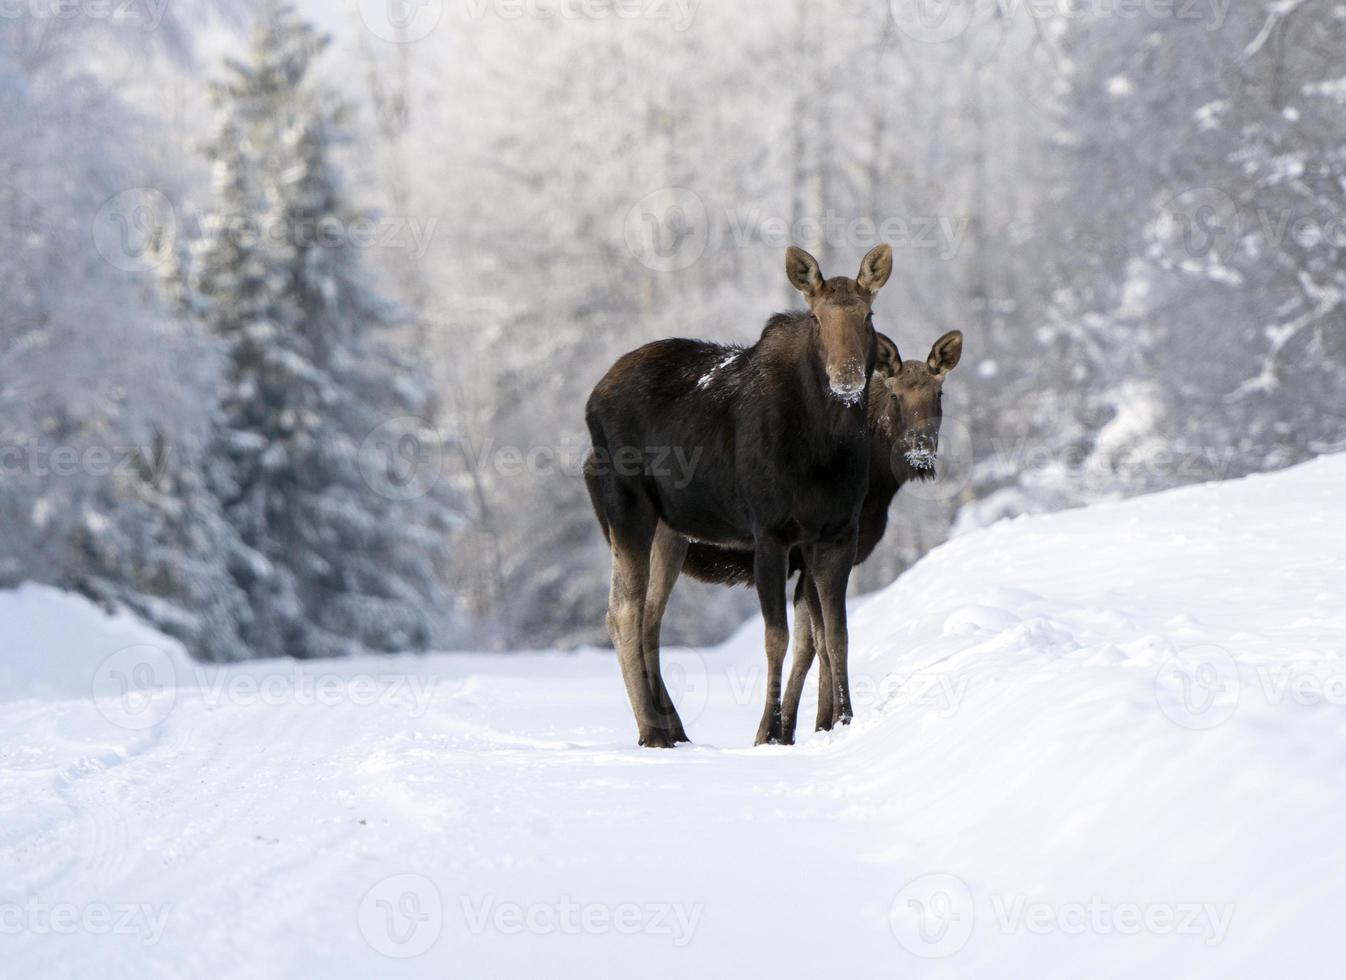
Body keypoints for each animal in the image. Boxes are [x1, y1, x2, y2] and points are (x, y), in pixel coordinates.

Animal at [589, 243, 893, 743]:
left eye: (868, 315)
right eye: (816, 318)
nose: (846, 376)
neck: (827, 449)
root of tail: (592, 398)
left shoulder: (836, 535)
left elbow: (837, 634)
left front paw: (845, 719)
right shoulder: (769, 533)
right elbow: (777, 637)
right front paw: (769, 731)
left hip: (671, 530)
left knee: (651, 616)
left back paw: (673, 728)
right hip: (626, 510)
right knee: (623, 612)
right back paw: (652, 729)